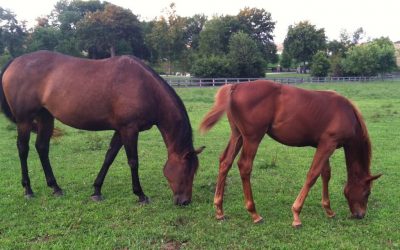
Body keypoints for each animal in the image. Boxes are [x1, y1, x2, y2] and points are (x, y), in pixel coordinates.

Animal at [0, 50, 203, 205]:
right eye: (187, 171)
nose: (185, 201)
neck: (146, 88)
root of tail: (14, 62)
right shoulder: (130, 129)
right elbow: (133, 161)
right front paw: (140, 195)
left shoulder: (121, 130)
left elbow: (109, 157)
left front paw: (96, 191)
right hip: (24, 121)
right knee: (23, 149)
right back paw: (28, 189)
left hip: (46, 117)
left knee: (42, 147)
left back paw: (55, 187)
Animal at [200, 79, 382, 227]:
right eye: (367, 192)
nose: (360, 215)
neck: (346, 113)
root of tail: (236, 86)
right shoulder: (328, 144)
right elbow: (312, 175)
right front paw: (296, 214)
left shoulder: (323, 145)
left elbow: (325, 174)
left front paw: (328, 210)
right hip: (252, 137)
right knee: (244, 166)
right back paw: (254, 213)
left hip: (237, 135)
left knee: (225, 162)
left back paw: (219, 211)